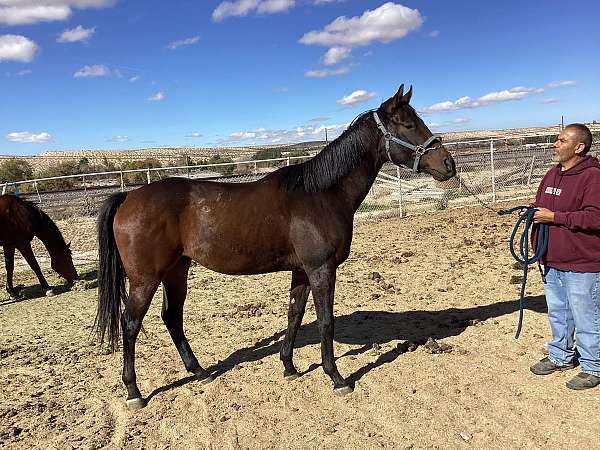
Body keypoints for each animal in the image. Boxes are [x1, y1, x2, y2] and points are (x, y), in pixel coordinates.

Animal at [96, 85, 458, 412]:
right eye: (408, 124)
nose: (448, 164)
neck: (320, 195)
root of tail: (128, 197)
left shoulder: (302, 270)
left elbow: (294, 314)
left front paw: (289, 367)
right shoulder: (321, 269)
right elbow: (326, 320)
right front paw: (337, 378)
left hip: (176, 271)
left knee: (172, 317)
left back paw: (199, 372)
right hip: (145, 279)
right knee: (131, 324)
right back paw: (134, 392)